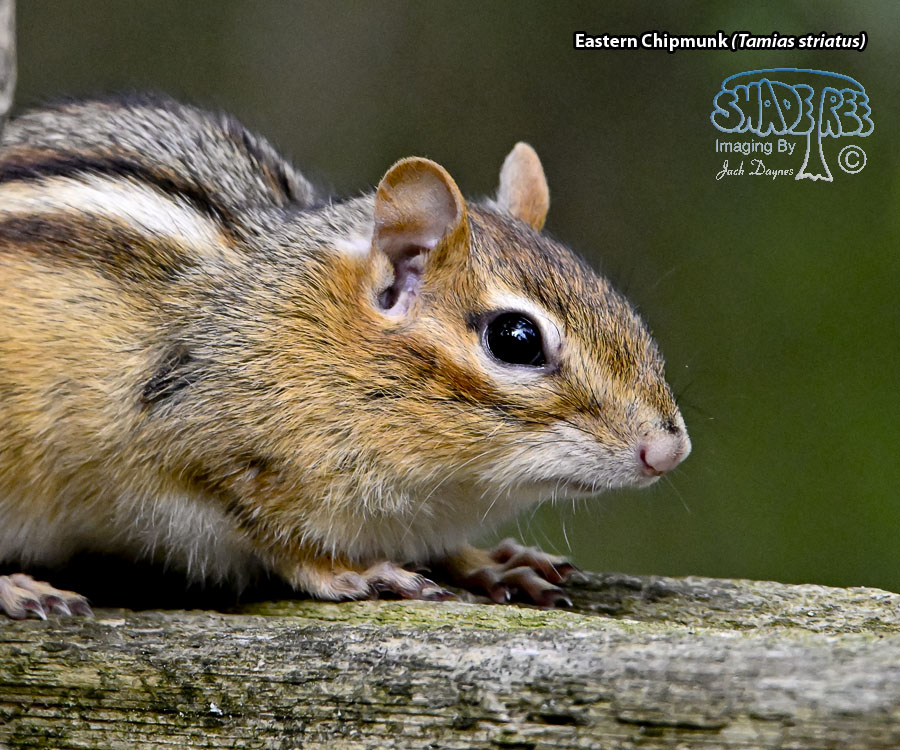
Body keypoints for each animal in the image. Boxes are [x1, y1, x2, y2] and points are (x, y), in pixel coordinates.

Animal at [0, 95, 690, 619]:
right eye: (515, 338)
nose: (668, 451)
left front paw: (490, 563)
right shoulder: (191, 447)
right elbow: (273, 537)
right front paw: (353, 574)